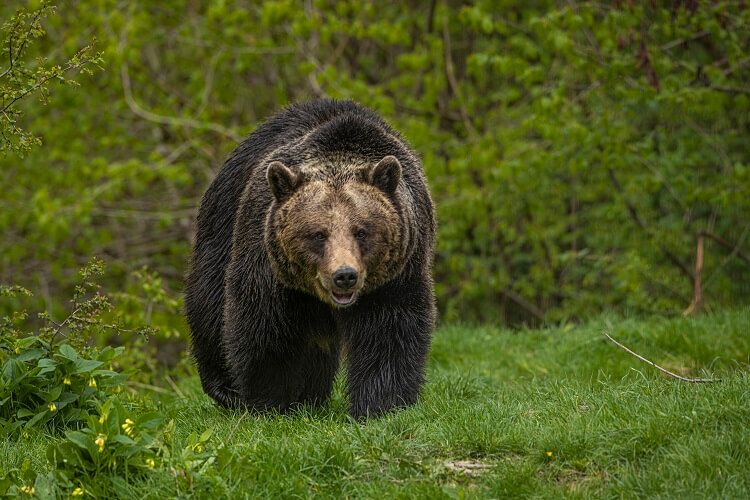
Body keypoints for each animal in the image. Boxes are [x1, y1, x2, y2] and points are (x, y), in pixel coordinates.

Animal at [184, 97, 438, 418]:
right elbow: (264, 328)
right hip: (222, 222)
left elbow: (390, 332)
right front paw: (269, 401)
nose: (345, 275)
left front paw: (380, 404)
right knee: (209, 298)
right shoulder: (269, 266)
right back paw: (225, 388)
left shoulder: (397, 272)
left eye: (361, 231)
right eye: (318, 234)